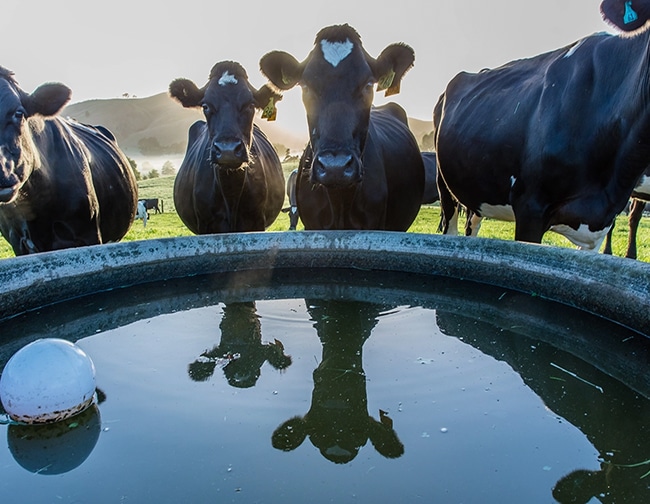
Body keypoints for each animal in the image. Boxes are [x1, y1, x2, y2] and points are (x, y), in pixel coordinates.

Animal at [169, 61, 285, 234]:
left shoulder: (257, 222)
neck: (231, 194)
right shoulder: (205, 225)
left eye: (250, 105)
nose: (227, 150)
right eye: (205, 106)